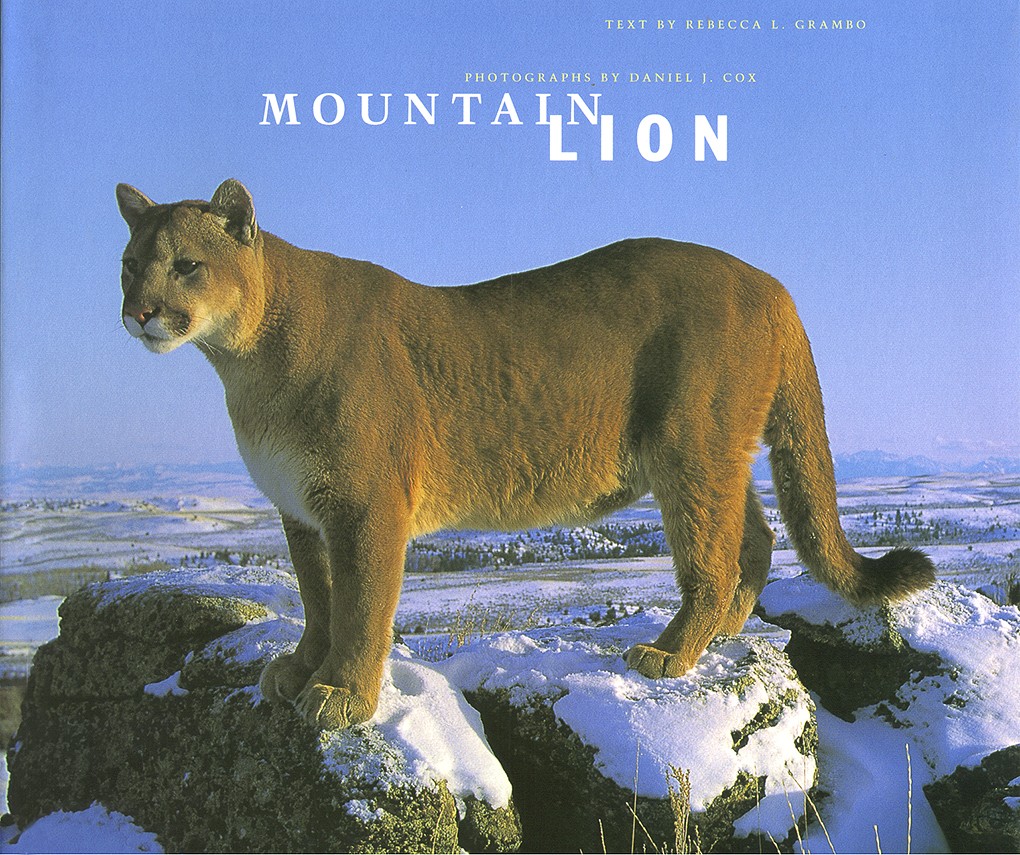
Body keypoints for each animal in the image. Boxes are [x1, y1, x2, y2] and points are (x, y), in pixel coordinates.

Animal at [116, 179, 935, 729]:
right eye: (129, 263)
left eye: (186, 265)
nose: (139, 311)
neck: (246, 361)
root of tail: (772, 282)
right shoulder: (301, 511)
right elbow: (319, 599)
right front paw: (300, 669)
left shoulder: (365, 507)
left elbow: (361, 605)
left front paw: (342, 695)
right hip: (712, 451)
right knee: (754, 535)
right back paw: (725, 634)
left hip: (689, 446)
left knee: (713, 553)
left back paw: (671, 654)